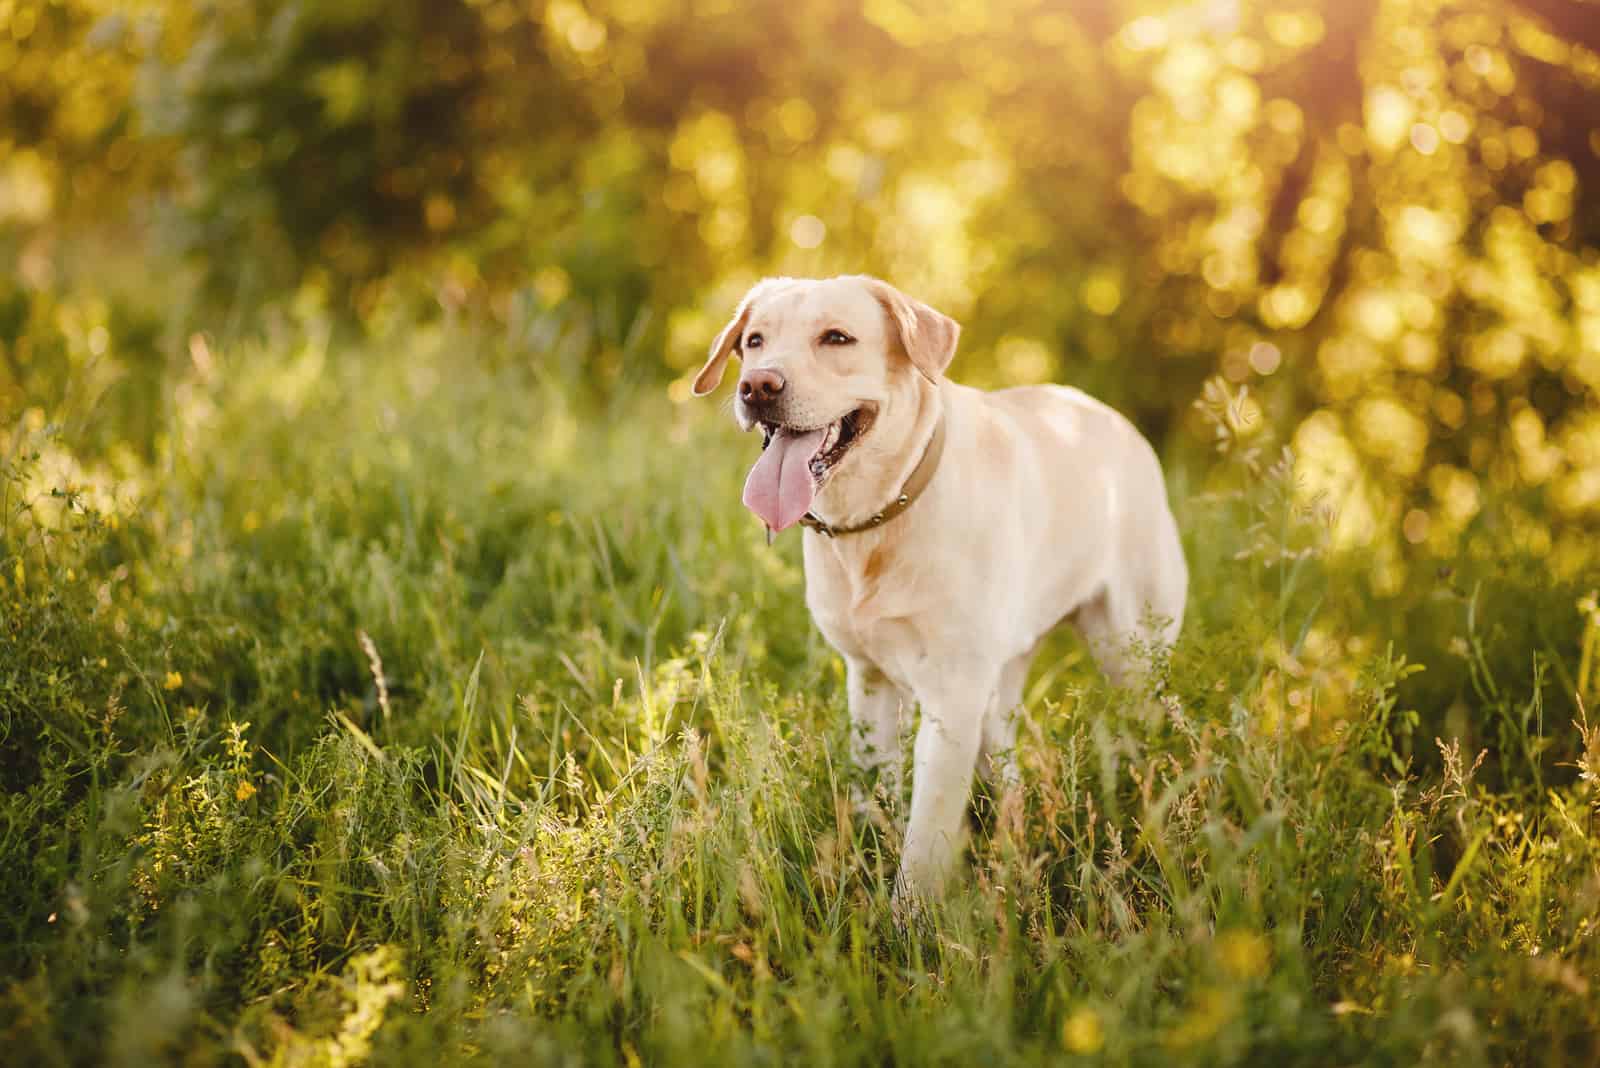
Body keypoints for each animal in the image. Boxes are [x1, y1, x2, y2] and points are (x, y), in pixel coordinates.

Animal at [691, 278, 1190, 908]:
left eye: (837, 338)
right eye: (755, 340)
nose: (757, 386)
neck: (879, 517)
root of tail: (1111, 417)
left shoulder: (952, 696)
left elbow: (927, 832)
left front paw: (910, 919)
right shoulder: (870, 680)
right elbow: (872, 789)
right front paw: (865, 860)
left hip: (1130, 654)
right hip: (1002, 679)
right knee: (1006, 762)